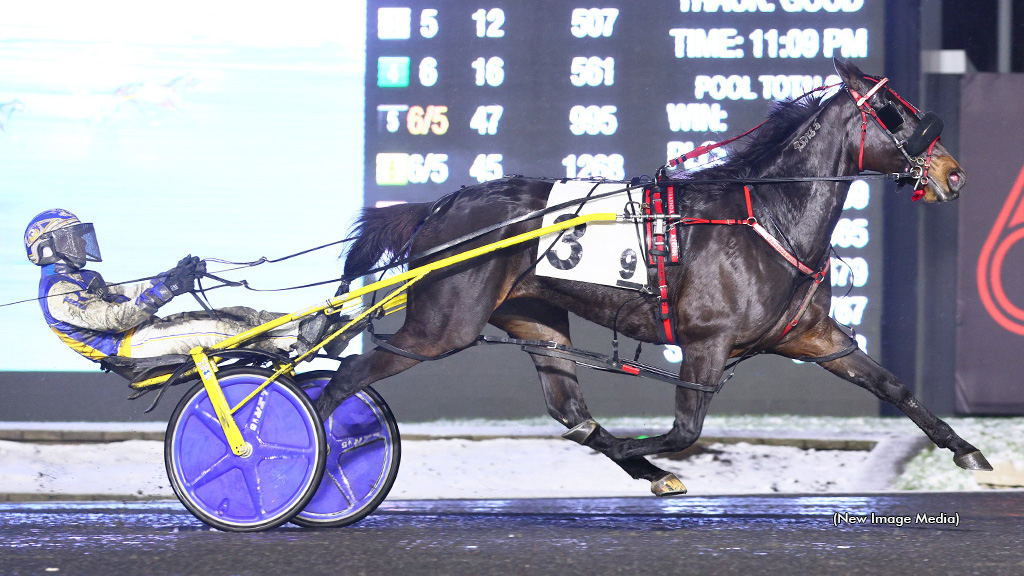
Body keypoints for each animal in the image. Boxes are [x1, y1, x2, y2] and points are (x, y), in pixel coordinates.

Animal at [315, 60, 987, 496]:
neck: (767, 215)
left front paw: (967, 451)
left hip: (534, 318)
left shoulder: (813, 336)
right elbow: (684, 430)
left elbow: (893, 386)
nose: (954, 174)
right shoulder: (706, 341)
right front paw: (643, 454)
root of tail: (441, 206)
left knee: (571, 411)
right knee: (346, 375)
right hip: (442, 325)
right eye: (896, 114)